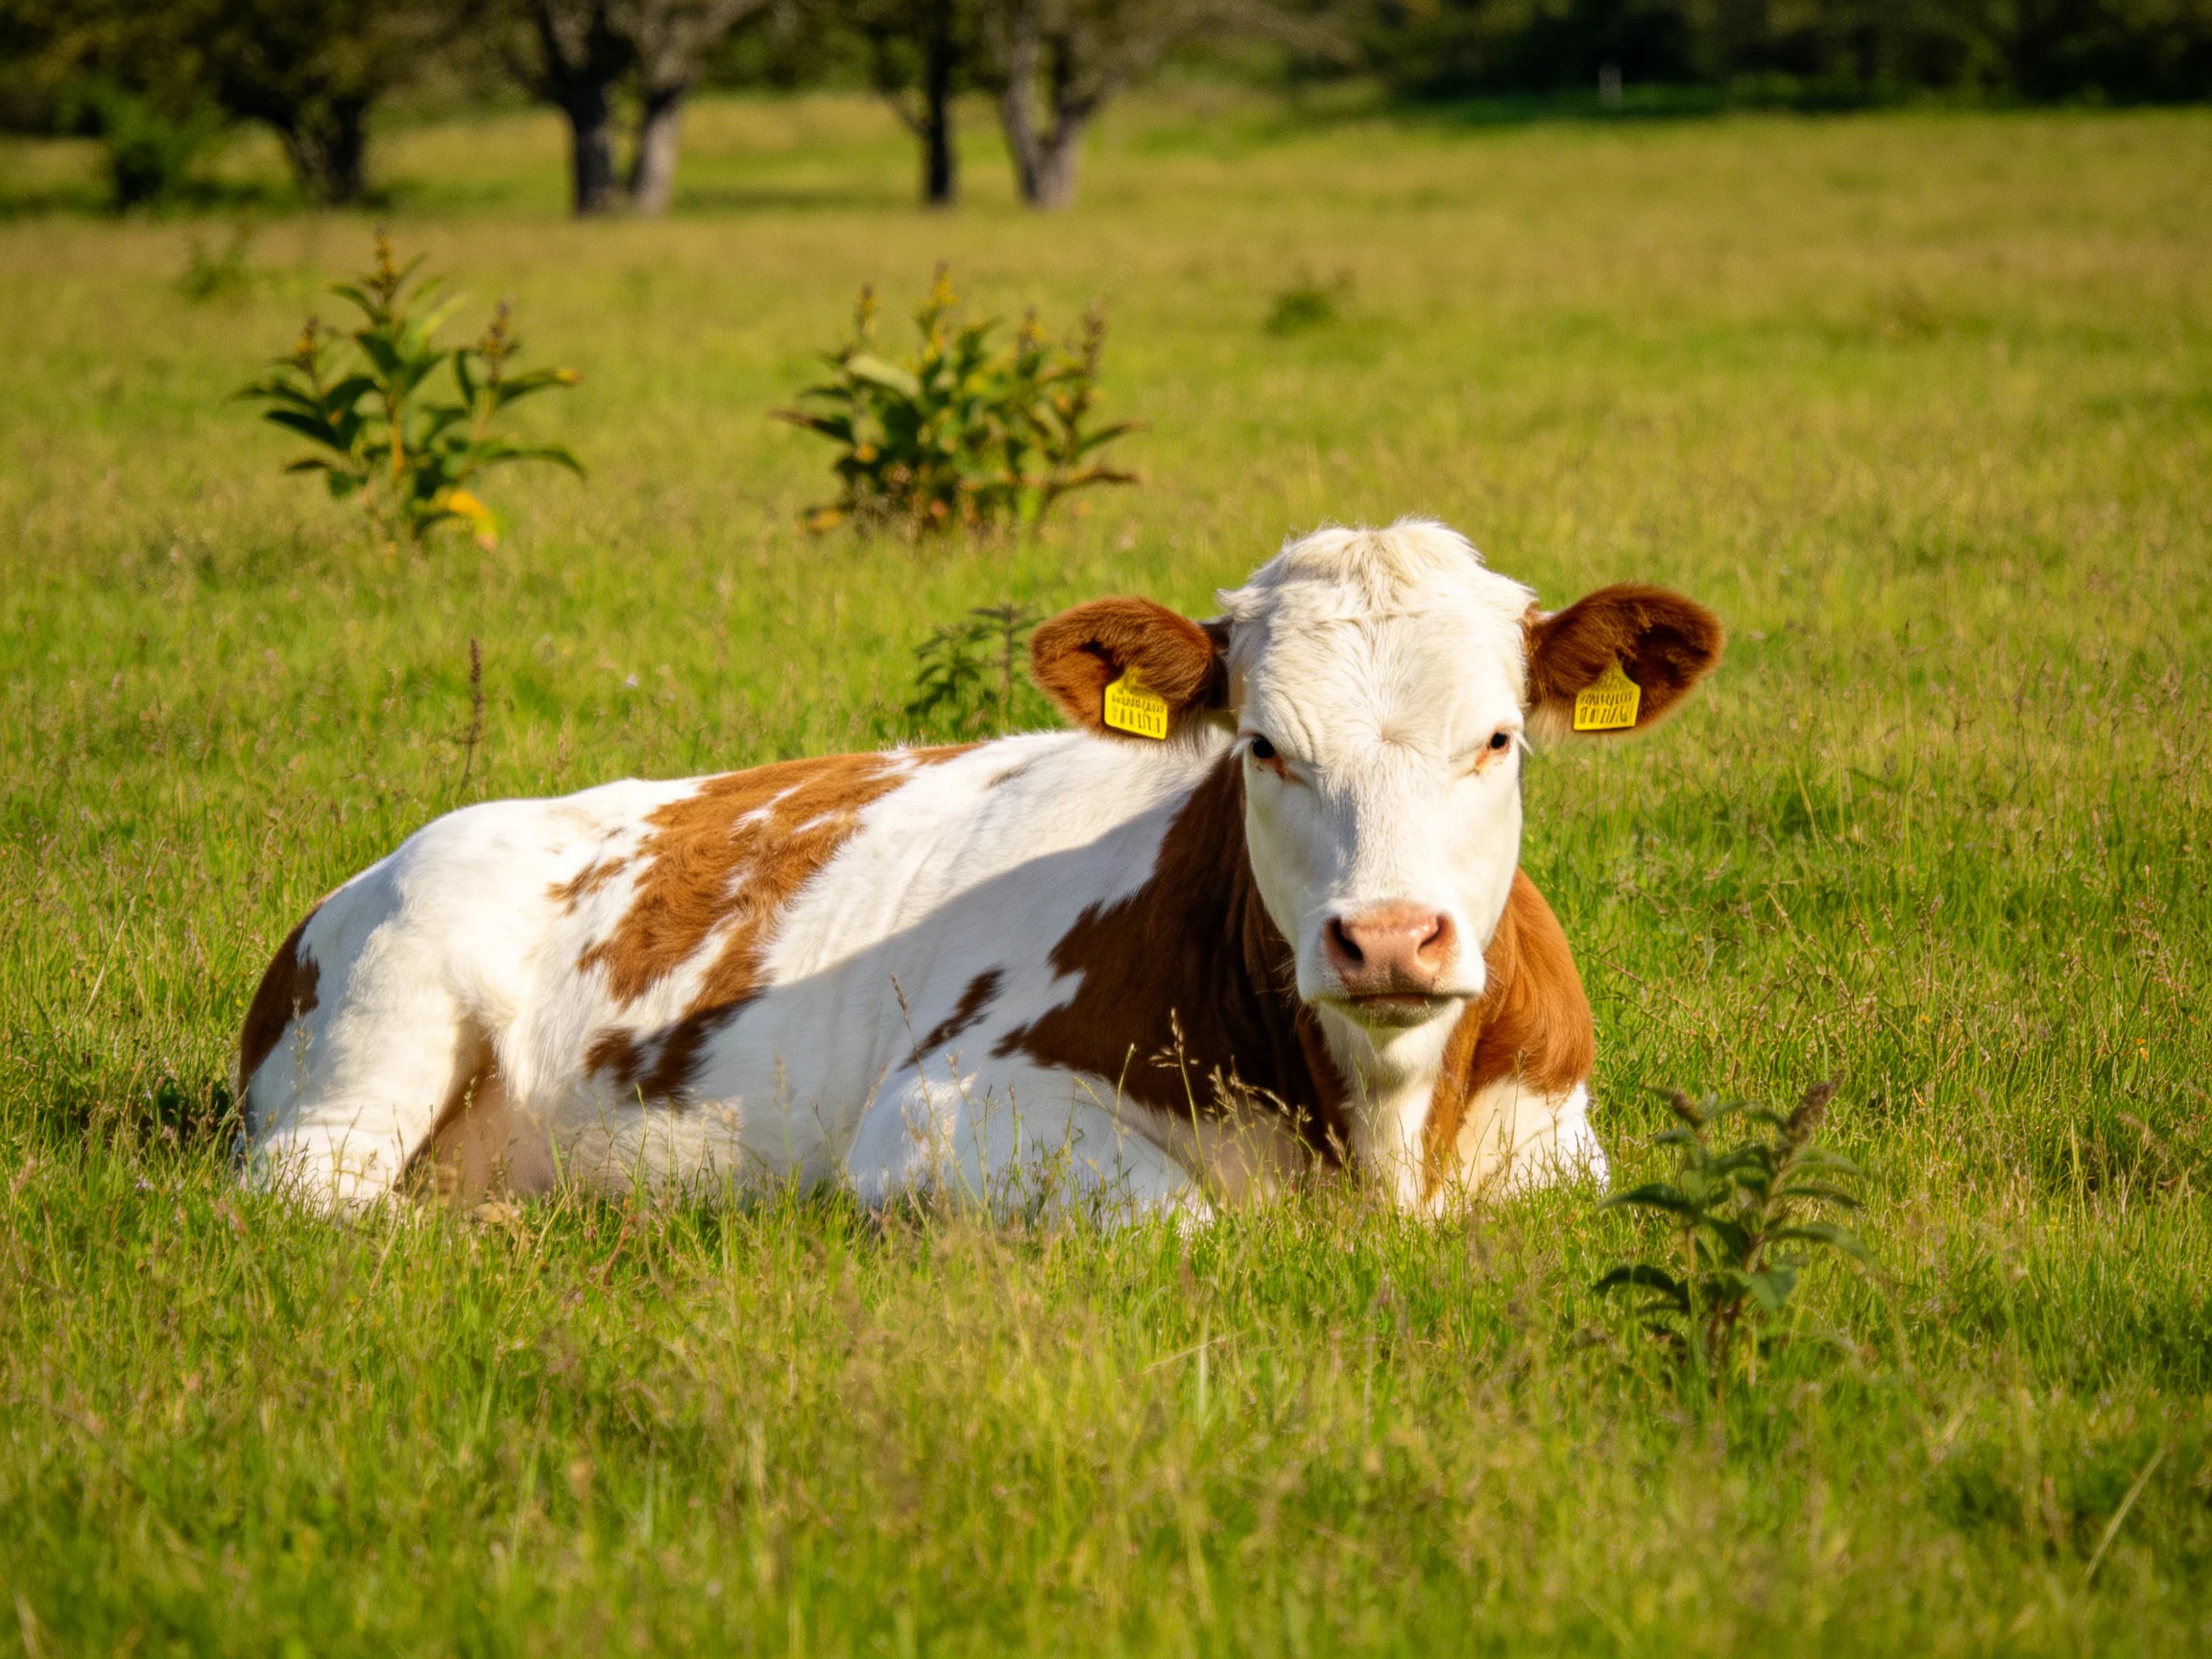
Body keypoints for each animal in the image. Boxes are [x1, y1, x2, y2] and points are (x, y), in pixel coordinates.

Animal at [236, 520, 1721, 1217]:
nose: (1393, 939)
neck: (1384, 1133)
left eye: (1498, 738)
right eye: (1262, 746)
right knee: (304, 1193)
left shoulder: (1560, 1151)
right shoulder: (932, 1115)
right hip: (377, 1037)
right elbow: (1190, 1219)